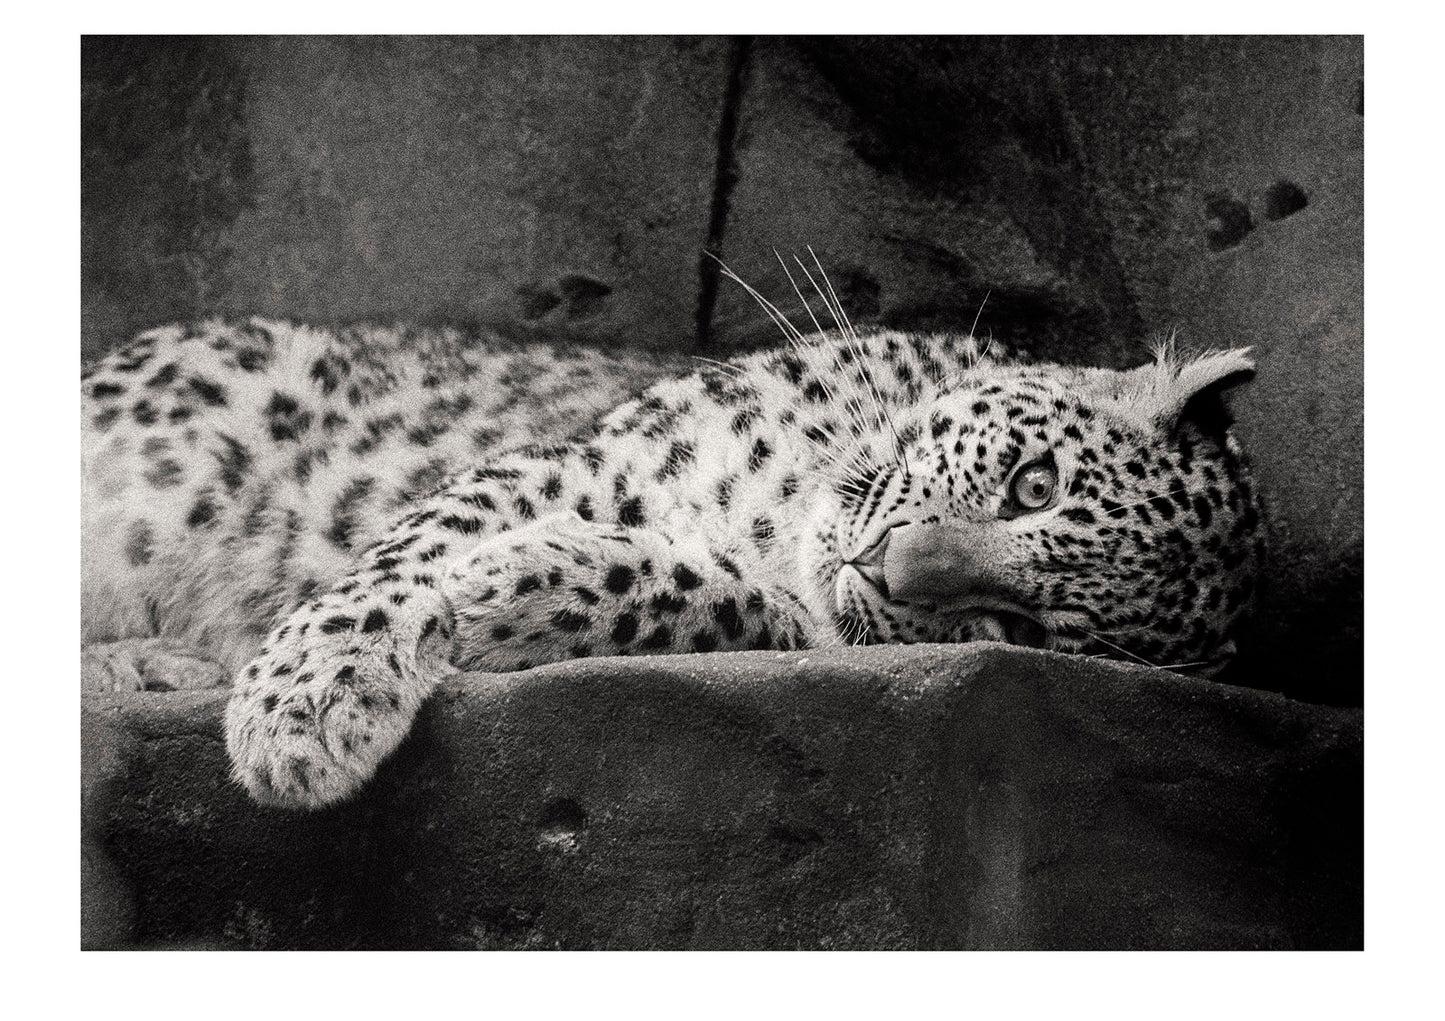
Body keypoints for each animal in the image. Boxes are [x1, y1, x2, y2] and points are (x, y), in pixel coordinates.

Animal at [81, 298, 1262, 812]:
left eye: (1017, 629)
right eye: (1033, 485)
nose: (889, 567)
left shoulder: (787, 618)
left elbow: (716, 599)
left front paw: (512, 585)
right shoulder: (575, 458)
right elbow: (399, 558)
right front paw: (304, 704)